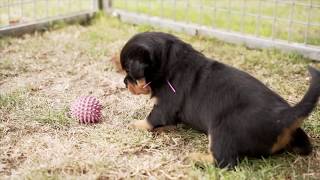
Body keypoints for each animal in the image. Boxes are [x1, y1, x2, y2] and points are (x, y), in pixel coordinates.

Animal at [120, 32, 320, 169]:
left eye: (129, 72)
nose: (124, 82)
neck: (170, 62)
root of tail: (285, 115)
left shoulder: (165, 105)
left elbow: (151, 118)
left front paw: (136, 124)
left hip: (222, 130)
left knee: (224, 161)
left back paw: (196, 158)